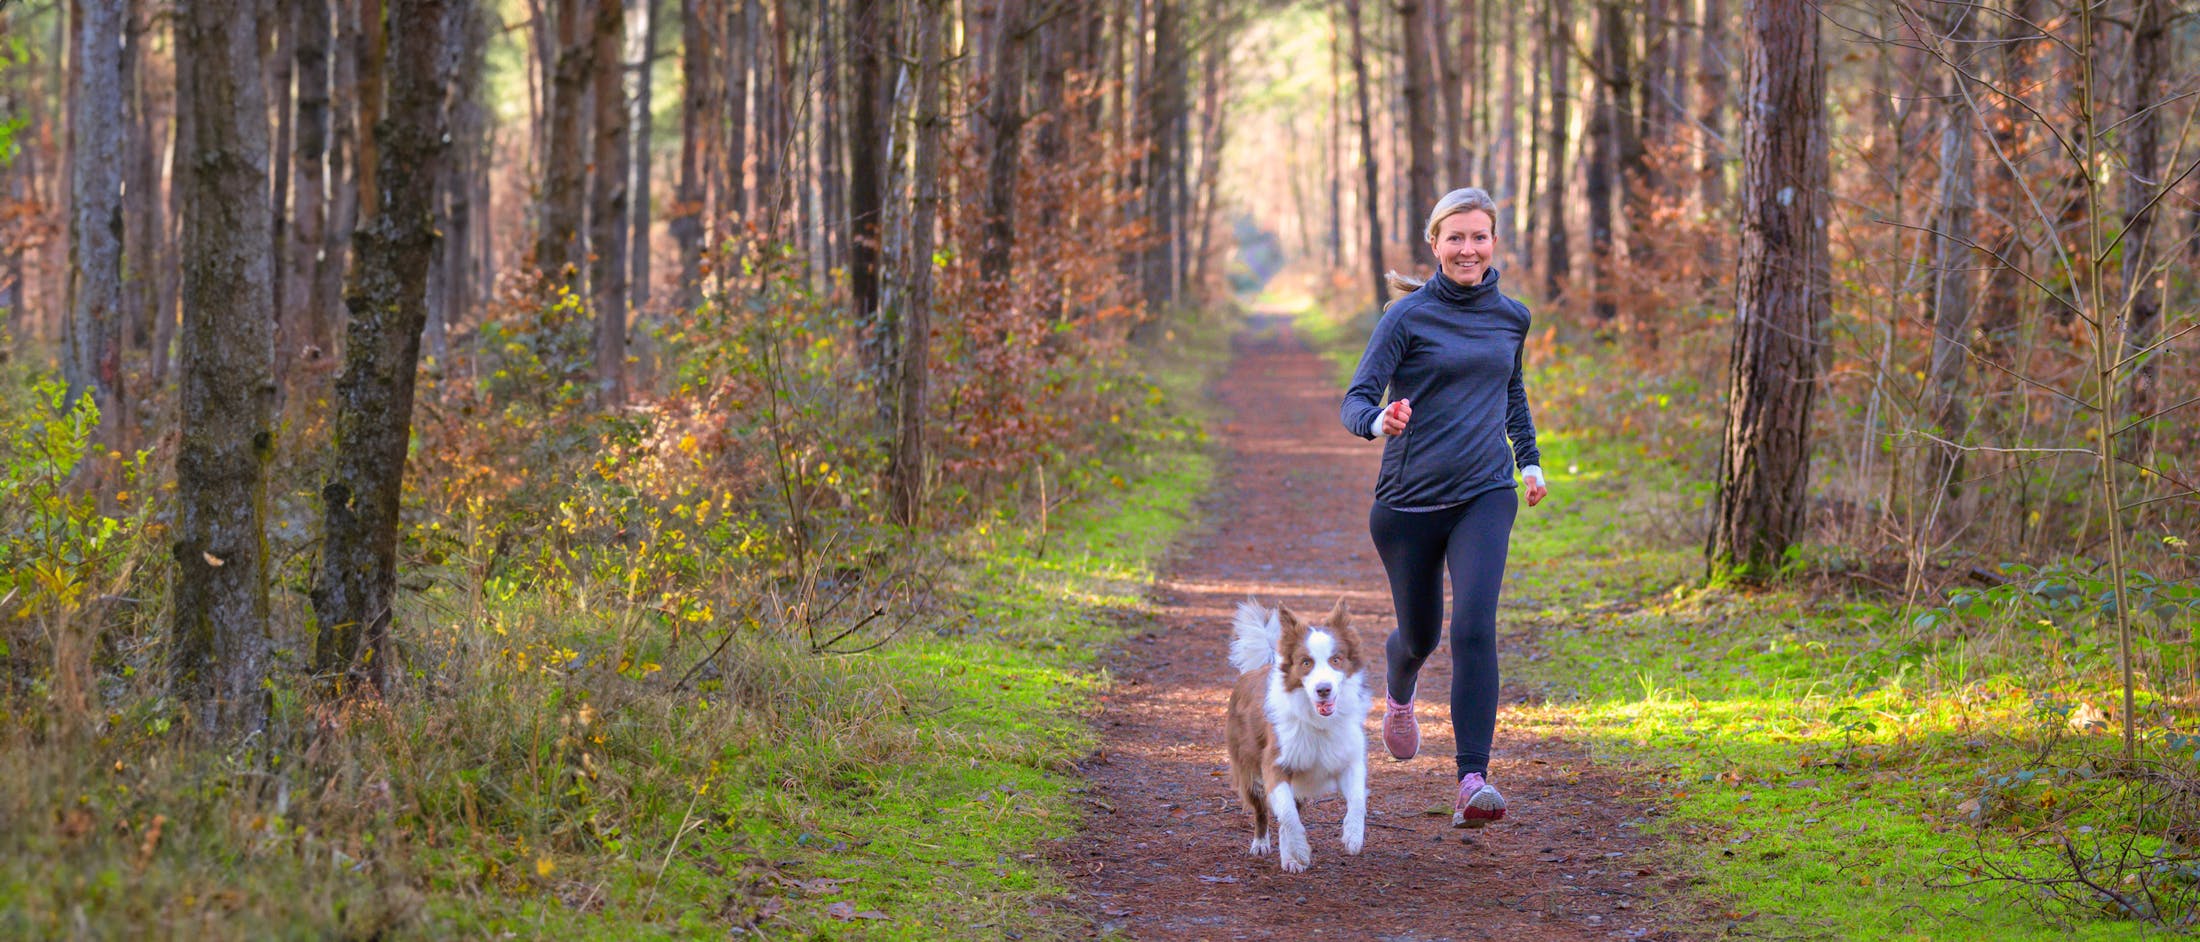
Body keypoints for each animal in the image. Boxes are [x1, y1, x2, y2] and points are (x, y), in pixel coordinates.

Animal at [1232, 598, 1364, 871]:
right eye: (1306, 662)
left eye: (1336, 659)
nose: (1323, 689)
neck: (1317, 721)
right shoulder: (1275, 763)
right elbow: (1288, 816)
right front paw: (1299, 851)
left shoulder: (1346, 758)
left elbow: (1358, 799)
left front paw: (1353, 836)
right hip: (1248, 768)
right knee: (1262, 811)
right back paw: (1263, 844)